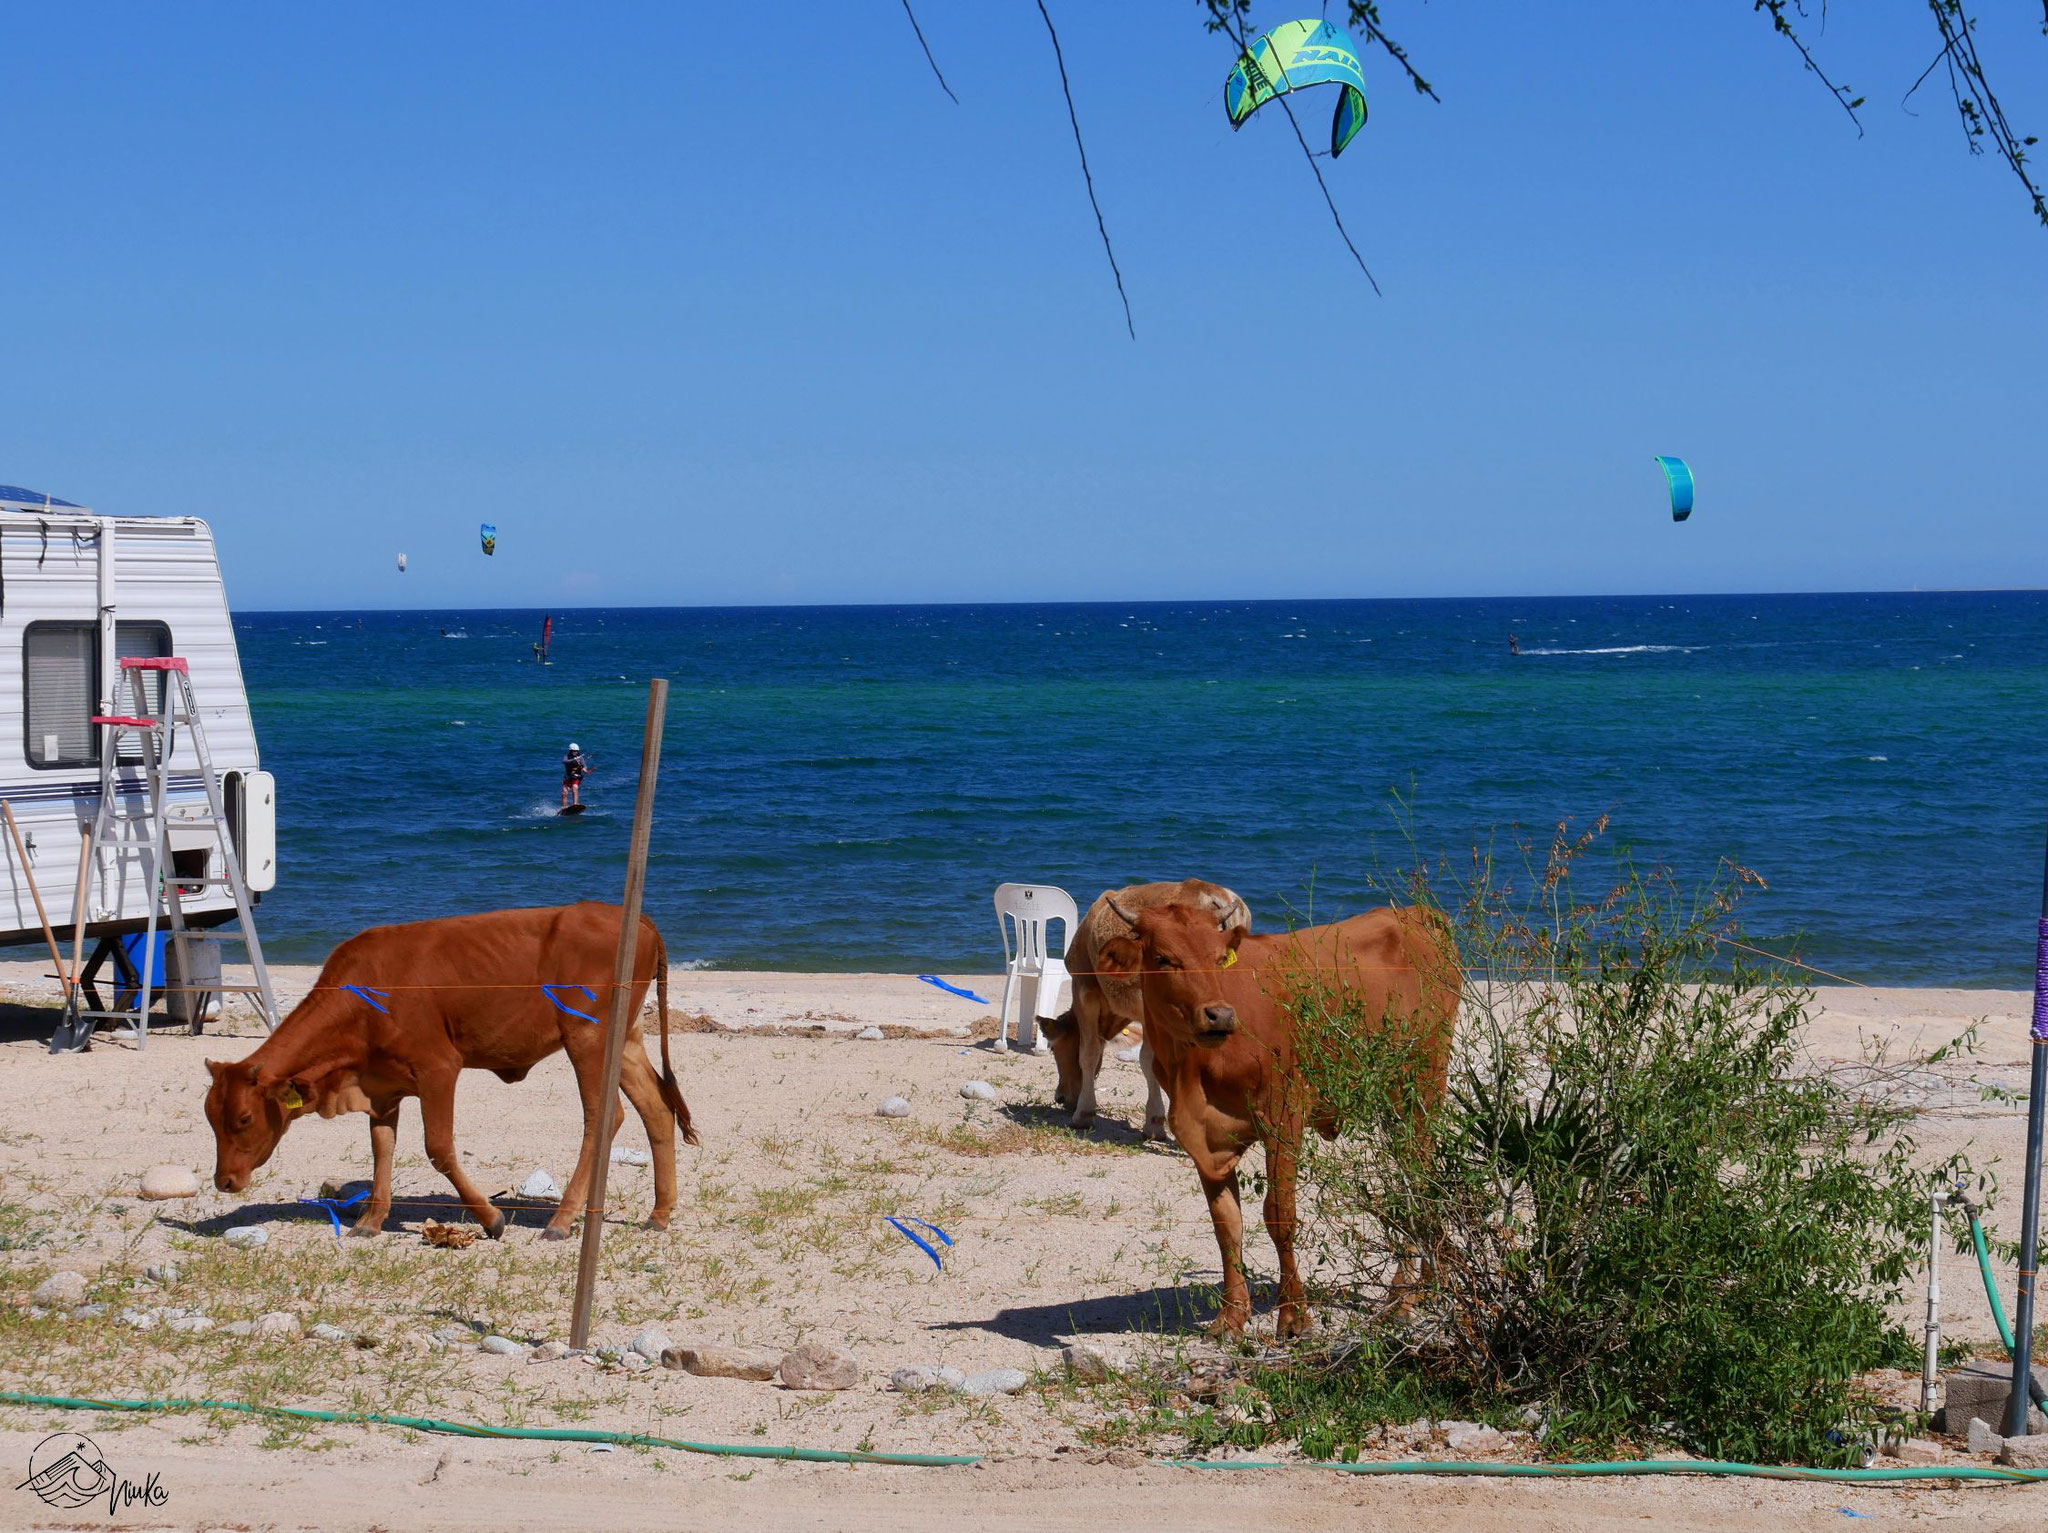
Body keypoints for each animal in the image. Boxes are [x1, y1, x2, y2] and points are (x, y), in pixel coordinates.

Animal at [202, 904, 696, 1236]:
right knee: (656, 1109)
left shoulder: (438, 1068)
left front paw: (491, 1218)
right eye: (211, 1119)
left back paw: (562, 1218)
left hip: (588, 1039)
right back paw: (659, 1213)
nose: (223, 1180)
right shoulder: (382, 1085)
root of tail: (630, 916)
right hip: (624, 1042)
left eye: (243, 1118)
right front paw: (371, 1219)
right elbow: (382, 1149)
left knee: (602, 1118)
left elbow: (438, 1148)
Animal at [1105, 896, 1458, 1326]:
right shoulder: (1204, 1139)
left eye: (1219, 958)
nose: (1220, 1015)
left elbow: (1279, 1214)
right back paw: (1430, 1281)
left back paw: (1404, 1294)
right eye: (1163, 958)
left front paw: (1292, 1317)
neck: (1193, 1071)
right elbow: (1227, 1225)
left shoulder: (1285, 1116)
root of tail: (1412, 913)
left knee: (1418, 1180)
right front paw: (1231, 1319)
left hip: (1423, 1087)